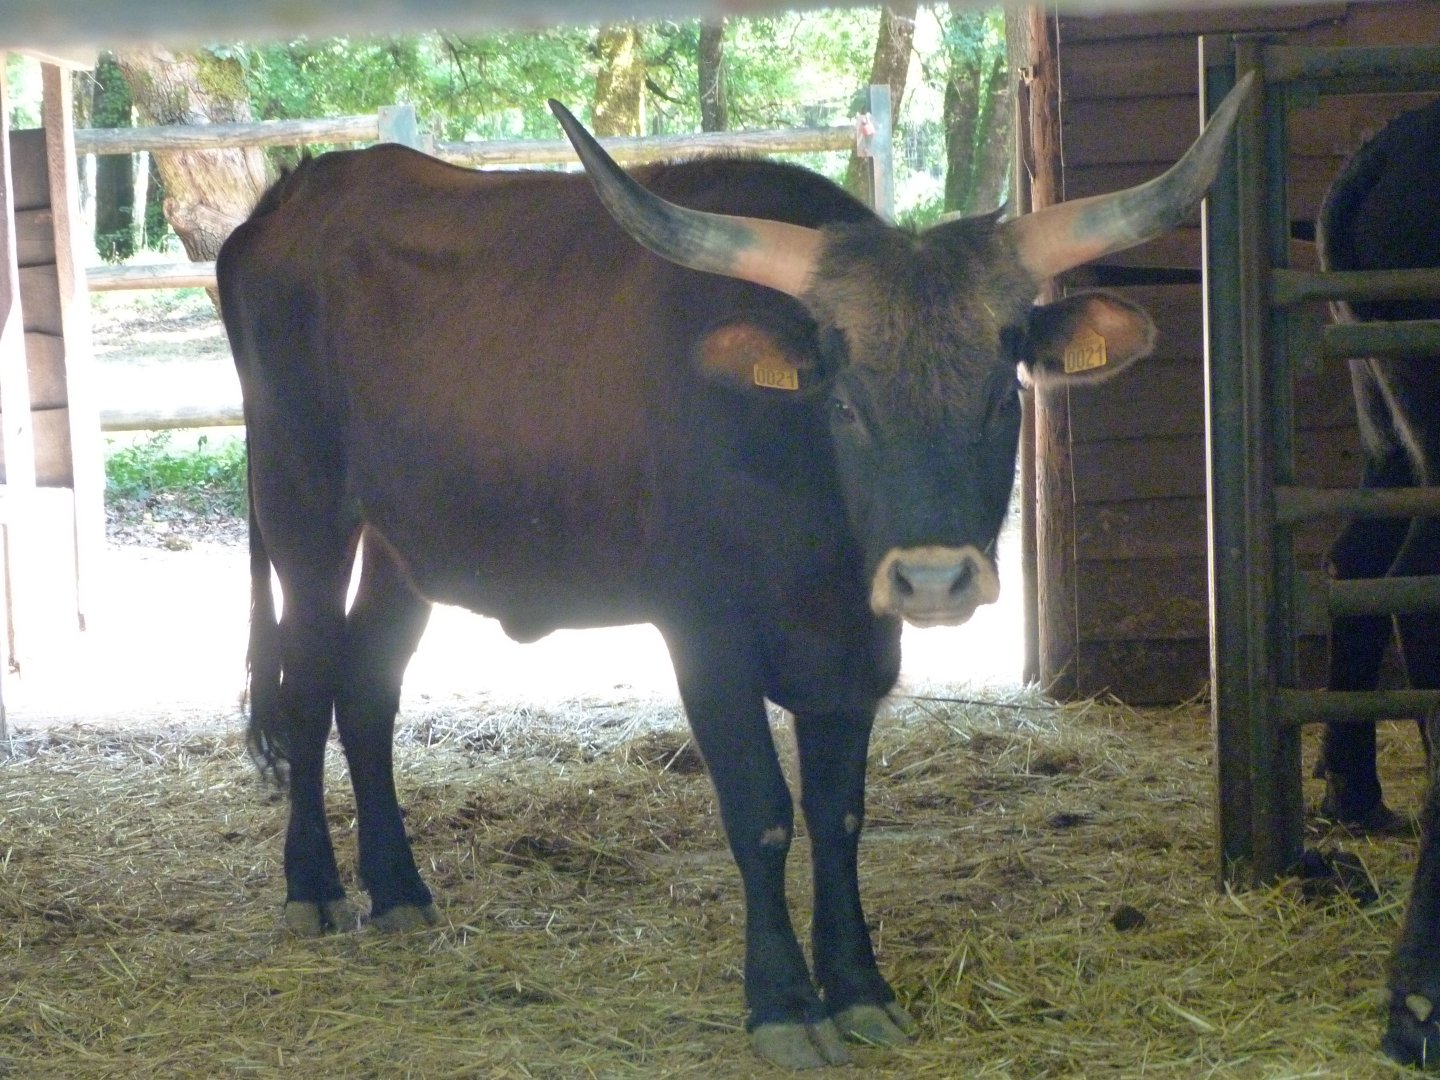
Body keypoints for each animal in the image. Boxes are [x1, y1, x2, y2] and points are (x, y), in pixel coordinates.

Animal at [217, 77, 1251, 1069]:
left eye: (1006, 396)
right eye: (846, 402)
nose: (931, 581)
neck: (815, 530)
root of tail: (294, 197)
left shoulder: (854, 656)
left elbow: (838, 816)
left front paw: (859, 988)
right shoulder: (705, 638)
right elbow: (761, 813)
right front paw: (785, 1005)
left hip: (405, 545)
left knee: (367, 690)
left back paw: (397, 887)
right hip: (302, 510)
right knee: (308, 686)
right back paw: (314, 887)